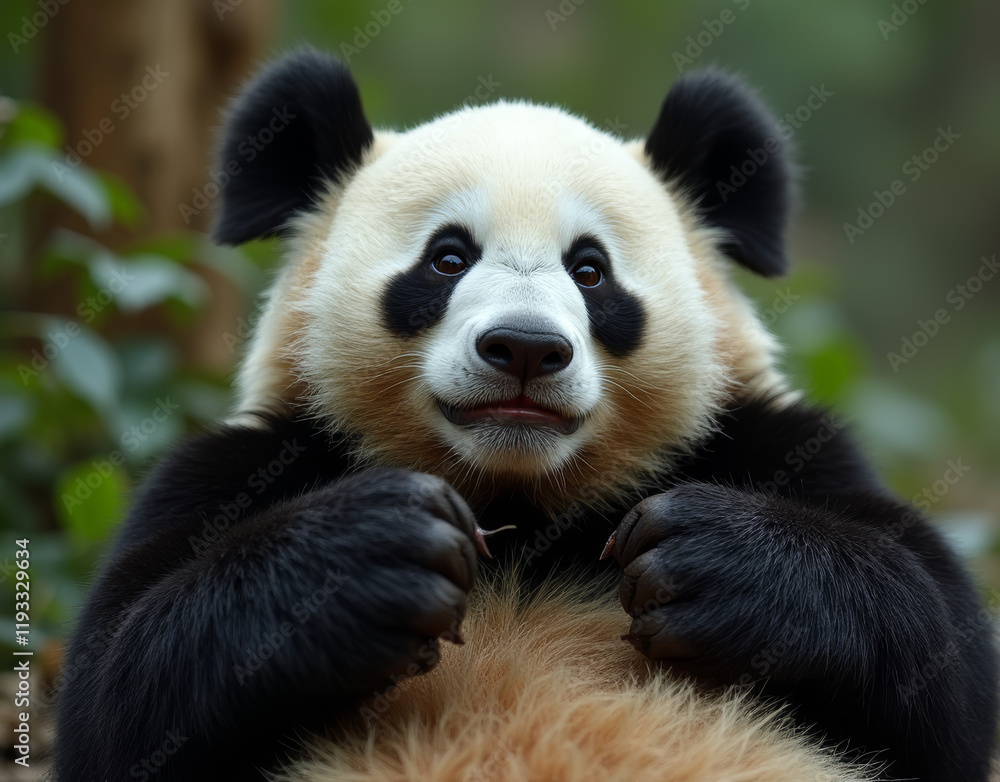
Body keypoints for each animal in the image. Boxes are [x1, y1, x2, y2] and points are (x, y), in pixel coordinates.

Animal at [55, 50, 997, 781]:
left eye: (590, 270)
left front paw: (706, 559)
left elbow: (947, 670)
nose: (525, 348)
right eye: (446, 258)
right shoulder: (251, 461)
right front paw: (376, 554)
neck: (524, 503)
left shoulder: (773, 445)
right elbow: (117, 692)